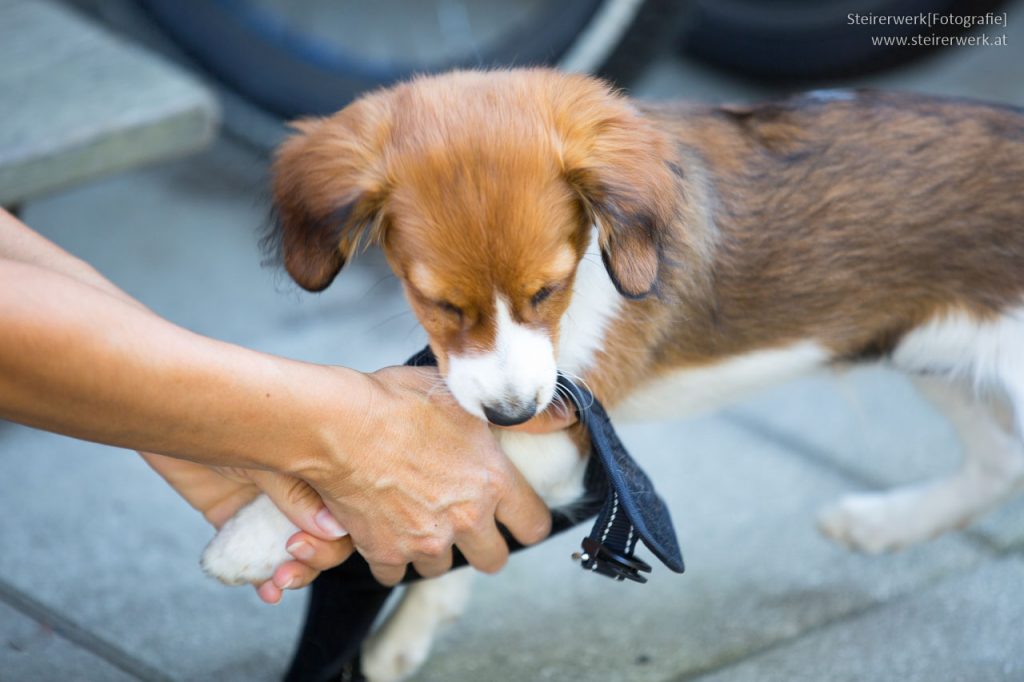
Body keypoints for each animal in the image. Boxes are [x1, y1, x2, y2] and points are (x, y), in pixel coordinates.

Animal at [199, 69, 1024, 679]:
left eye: (548, 290)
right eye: (440, 304)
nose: (510, 411)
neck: (597, 255)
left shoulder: (563, 420)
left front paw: (256, 535)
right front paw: (406, 630)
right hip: (937, 358)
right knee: (1000, 460)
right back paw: (883, 525)